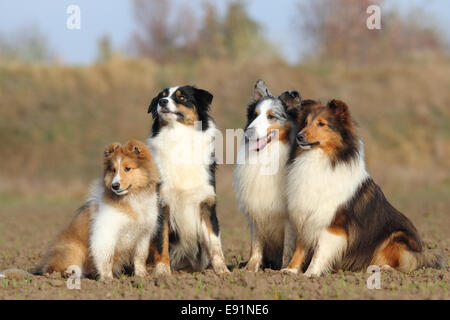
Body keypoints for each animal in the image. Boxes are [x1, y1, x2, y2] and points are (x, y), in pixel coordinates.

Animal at [37, 141, 160, 280]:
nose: (115, 186)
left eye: (127, 168)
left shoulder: (143, 235)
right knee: (53, 268)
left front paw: (142, 276)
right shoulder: (105, 234)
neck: (131, 199)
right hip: (72, 250)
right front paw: (107, 279)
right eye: (113, 170)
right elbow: (106, 258)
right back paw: (64, 273)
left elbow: (140, 257)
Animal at [147, 85, 229, 276]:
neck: (179, 138)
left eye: (182, 97)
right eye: (162, 97)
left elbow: (215, 243)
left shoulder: (206, 204)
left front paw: (222, 271)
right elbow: (161, 241)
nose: (162, 102)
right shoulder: (162, 203)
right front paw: (162, 271)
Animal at [234, 79, 300, 272]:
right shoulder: (256, 210)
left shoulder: (289, 218)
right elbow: (255, 244)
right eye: (254, 115)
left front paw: (282, 270)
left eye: (271, 116)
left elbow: (288, 246)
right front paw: (250, 269)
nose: (248, 132)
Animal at [284, 100, 444, 278]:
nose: (299, 136)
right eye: (305, 123)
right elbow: (299, 249)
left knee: (404, 263)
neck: (318, 159)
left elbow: (320, 251)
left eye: (321, 123)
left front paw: (310, 274)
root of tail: (422, 251)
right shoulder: (304, 216)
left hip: (396, 237)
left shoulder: (333, 223)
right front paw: (290, 270)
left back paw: (383, 268)